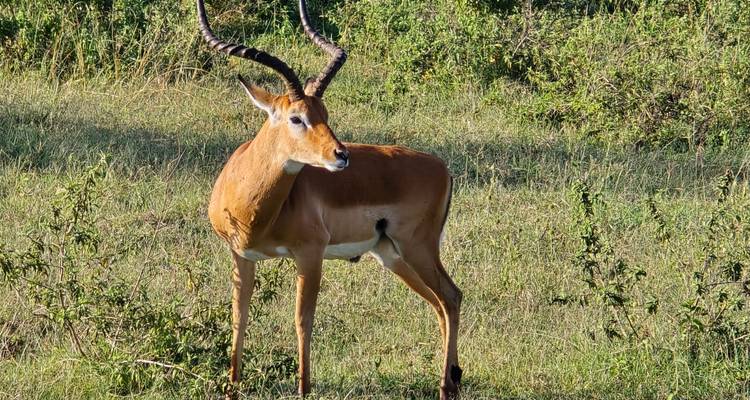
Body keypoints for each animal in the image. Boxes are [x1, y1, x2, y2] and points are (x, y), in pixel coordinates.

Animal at [197, 0, 463, 398]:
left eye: (324, 114)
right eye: (296, 117)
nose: (341, 155)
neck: (253, 206)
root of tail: (441, 167)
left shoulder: (309, 254)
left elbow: (302, 320)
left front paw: (304, 388)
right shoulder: (240, 254)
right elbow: (238, 316)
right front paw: (232, 385)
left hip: (417, 247)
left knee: (451, 297)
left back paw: (447, 385)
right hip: (392, 255)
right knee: (440, 304)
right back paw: (452, 380)